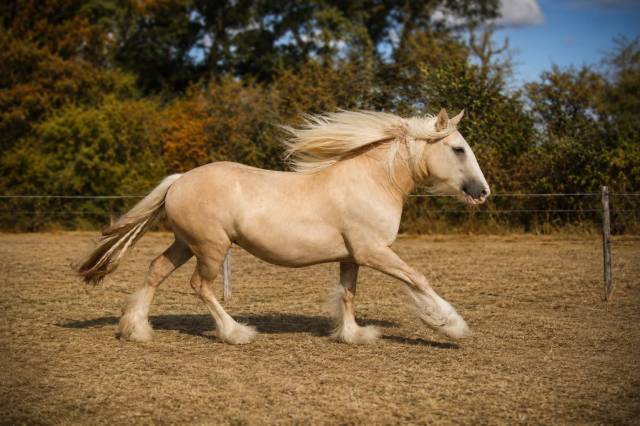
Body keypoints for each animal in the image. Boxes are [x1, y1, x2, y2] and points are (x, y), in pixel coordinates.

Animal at [76, 108, 490, 345]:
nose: (482, 192)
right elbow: (418, 279)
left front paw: (354, 335)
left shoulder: (351, 256)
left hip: (184, 243)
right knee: (200, 286)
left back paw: (136, 331)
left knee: (155, 271)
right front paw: (452, 326)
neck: (374, 181)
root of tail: (178, 181)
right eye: (458, 149)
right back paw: (236, 333)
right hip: (211, 247)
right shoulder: (374, 251)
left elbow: (348, 294)